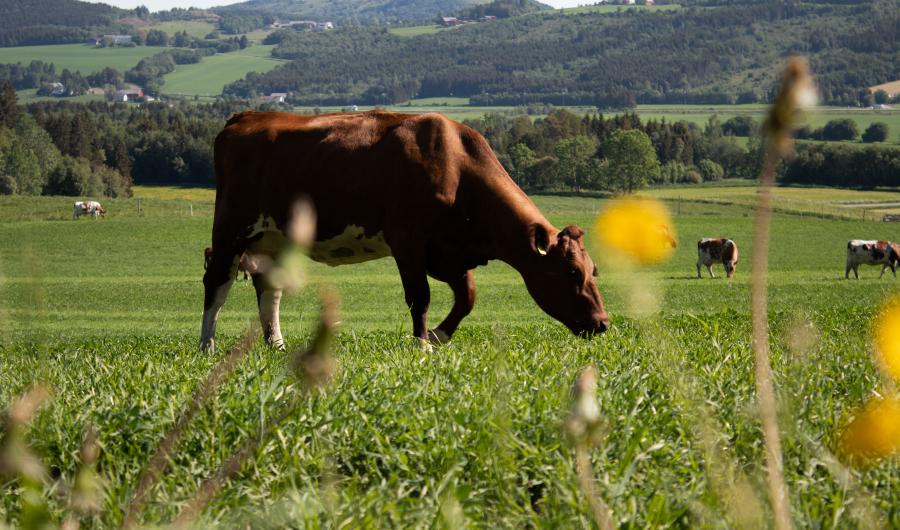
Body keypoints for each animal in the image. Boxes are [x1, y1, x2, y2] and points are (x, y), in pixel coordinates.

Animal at [200, 110, 609, 352]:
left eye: (594, 271)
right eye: (572, 272)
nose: (603, 323)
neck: (460, 170)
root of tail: (247, 116)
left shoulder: (448, 253)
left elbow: (468, 297)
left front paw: (438, 335)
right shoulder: (408, 242)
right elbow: (421, 298)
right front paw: (422, 344)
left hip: (275, 237)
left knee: (270, 289)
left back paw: (277, 345)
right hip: (231, 227)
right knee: (216, 283)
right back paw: (208, 344)